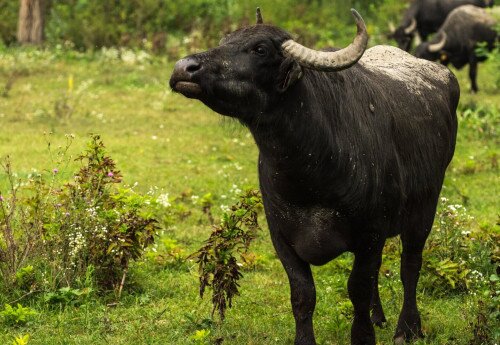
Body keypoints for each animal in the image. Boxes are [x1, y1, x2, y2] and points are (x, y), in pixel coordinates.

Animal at [170, 7, 458, 344]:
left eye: (260, 49)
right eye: (224, 40)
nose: (184, 68)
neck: (312, 175)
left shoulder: (370, 233)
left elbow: (357, 289)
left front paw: (364, 336)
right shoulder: (282, 238)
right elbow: (303, 294)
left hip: (424, 210)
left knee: (410, 265)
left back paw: (408, 327)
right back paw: (379, 317)